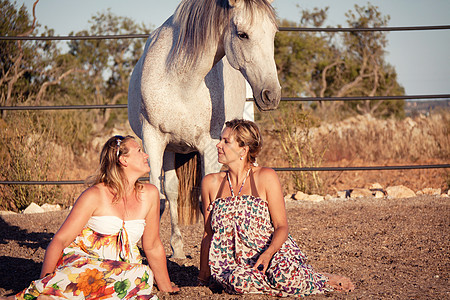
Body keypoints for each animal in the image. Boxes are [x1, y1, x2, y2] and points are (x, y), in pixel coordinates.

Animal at [128, 0, 280, 258]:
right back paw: (177, 249)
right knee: (172, 191)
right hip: (170, 148)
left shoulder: (209, 145)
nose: (271, 95)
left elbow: (206, 201)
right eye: (243, 34)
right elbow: (158, 198)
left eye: (273, 33)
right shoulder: (153, 139)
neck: (181, 80)